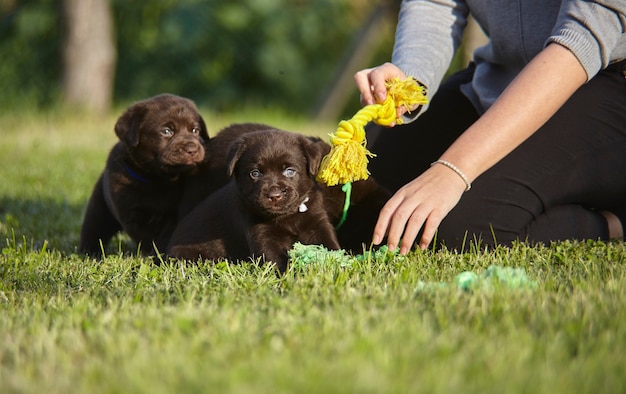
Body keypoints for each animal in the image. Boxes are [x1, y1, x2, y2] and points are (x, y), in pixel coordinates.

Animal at [78, 94, 208, 258]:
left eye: (195, 130)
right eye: (166, 131)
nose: (192, 149)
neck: (156, 180)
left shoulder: (173, 215)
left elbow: (164, 236)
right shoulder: (132, 217)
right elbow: (147, 238)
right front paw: (151, 254)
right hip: (98, 208)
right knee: (93, 229)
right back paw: (88, 252)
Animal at [168, 127, 338, 272]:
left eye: (289, 171)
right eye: (255, 173)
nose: (274, 195)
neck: (288, 216)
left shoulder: (317, 223)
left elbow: (330, 245)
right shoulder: (263, 235)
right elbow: (276, 259)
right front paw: (291, 276)